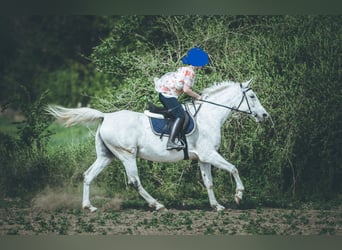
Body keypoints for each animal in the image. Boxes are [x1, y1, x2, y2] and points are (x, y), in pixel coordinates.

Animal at [46, 79, 270, 212]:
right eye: (252, 96)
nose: (265, 116)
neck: (209, 116)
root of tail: (106, 116)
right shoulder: (210, 155)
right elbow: (234, 168)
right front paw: (238, 195)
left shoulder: (203, 158)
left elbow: (209, 182)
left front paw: (217, 206)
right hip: (127, 155)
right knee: (135, 181)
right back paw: (157, 205)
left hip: (106, 156)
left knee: (88, 175)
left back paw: (89, 207)